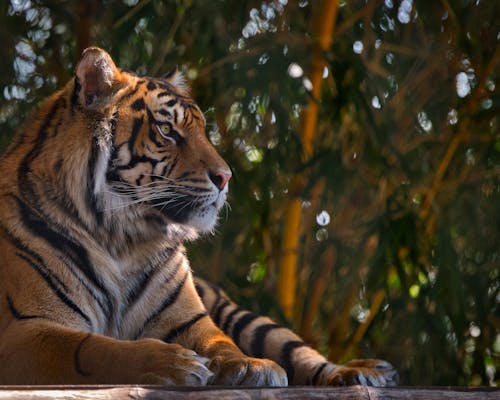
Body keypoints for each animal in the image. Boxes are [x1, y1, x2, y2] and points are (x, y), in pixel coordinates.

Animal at [0, 47, 398, 388]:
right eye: (167, 131)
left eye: (202, 130)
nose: (226, 177)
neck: (121, 239)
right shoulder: (27, 330)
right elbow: (95, 348)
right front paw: (171, 363)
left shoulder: (190, 320)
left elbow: (221, 343)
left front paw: (250, 365)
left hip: (245, 317)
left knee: (300, 351)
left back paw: (362, 374)